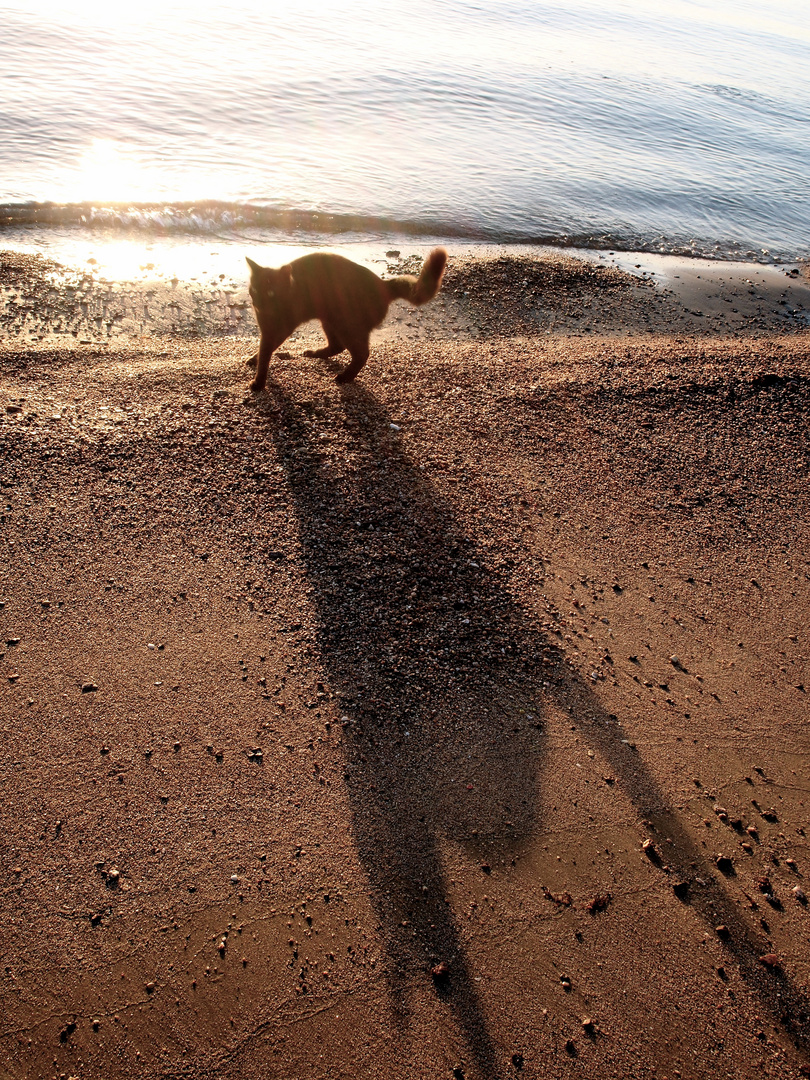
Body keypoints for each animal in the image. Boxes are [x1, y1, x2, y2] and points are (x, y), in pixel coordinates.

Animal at [247, 247, 451, 390]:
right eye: (254, 289)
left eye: (271, 292)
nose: (259, 303)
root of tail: (383, 285)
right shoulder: (268, 331)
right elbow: (264, 350)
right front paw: (255, 361)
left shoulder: (278, 329)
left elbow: (266, 354)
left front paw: (258, 383)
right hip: (330, 321)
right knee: (338, 346)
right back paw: (315, 353)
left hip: (347, 325)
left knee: (361, 354)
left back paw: (345, 377)